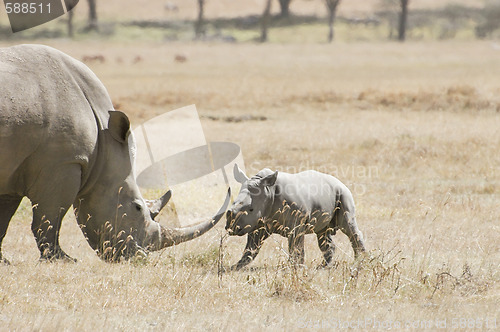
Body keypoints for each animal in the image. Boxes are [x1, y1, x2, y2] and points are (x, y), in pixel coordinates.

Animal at [225, 164, 366, 270]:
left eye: (251, 209)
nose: (230, 228)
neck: (268, 191)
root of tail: (339, 181)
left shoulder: (297, 221)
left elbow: (295, 246)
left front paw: (295, 268)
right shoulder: (259, 223)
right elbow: (251, 249)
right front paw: (234, 268)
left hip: (343, 193)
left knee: (348, 227)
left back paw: (360, 262)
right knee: (322, 233)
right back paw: (323, 267)